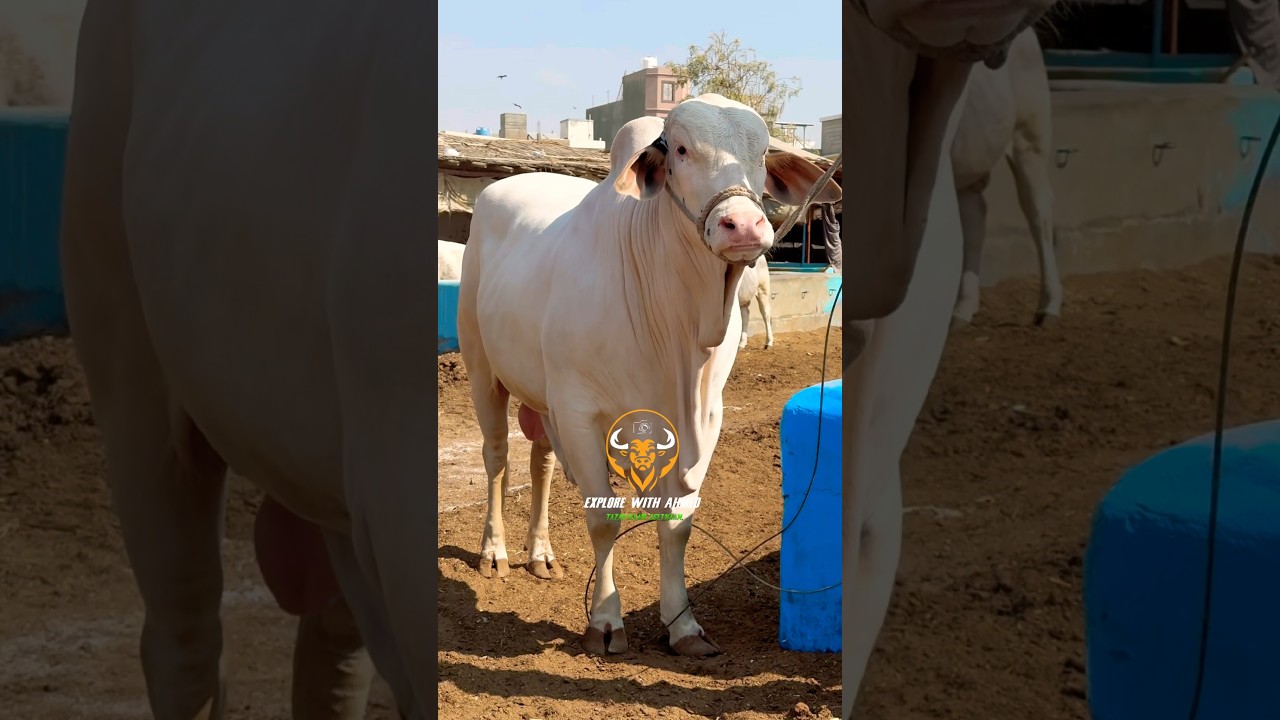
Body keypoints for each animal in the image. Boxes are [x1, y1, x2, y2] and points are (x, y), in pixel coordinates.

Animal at [456, 95, 841, 658]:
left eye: (761, 151)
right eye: (680, 149)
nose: (745, 226)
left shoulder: (704, 416)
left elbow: (676, 522)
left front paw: (683, 626)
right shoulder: (580, 412)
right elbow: (603, 518)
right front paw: (605, 622)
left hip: (543, 398)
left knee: (539, 463)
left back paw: (541, 553)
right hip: (482, 367)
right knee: (497, 458)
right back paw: (496, 551)